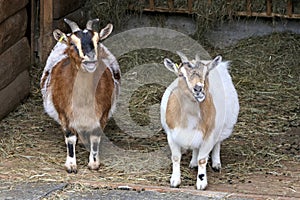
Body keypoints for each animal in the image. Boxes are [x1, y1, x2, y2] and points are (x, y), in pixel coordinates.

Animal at [40, 18, 120, 173]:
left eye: (98, 41)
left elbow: (95, 137)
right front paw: (71, 165)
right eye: (72, 43)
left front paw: (94, 163)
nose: (90, 59)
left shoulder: (103, 113)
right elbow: (70, 138)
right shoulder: (64, 114)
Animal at [161, 51, 240, 189]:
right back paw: (193, 163)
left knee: (218, 143)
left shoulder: (209, 135)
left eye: (206, 73)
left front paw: (201, 183)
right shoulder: (171, 135)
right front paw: (175, 181)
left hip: (223, 125)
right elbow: (176, 157)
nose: (198, 89)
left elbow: (202, 159)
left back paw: (216, 163)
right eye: (181, 75)